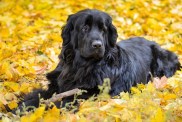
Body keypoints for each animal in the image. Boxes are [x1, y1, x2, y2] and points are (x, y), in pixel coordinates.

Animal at [14, 8, 181, 110]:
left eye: (103, 29)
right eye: (84, 28)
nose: (97, 45)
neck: (81, 66)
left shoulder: (95, 94)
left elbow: (64, 101)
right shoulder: (56, 85)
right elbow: (39, 95)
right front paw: (22, 107)